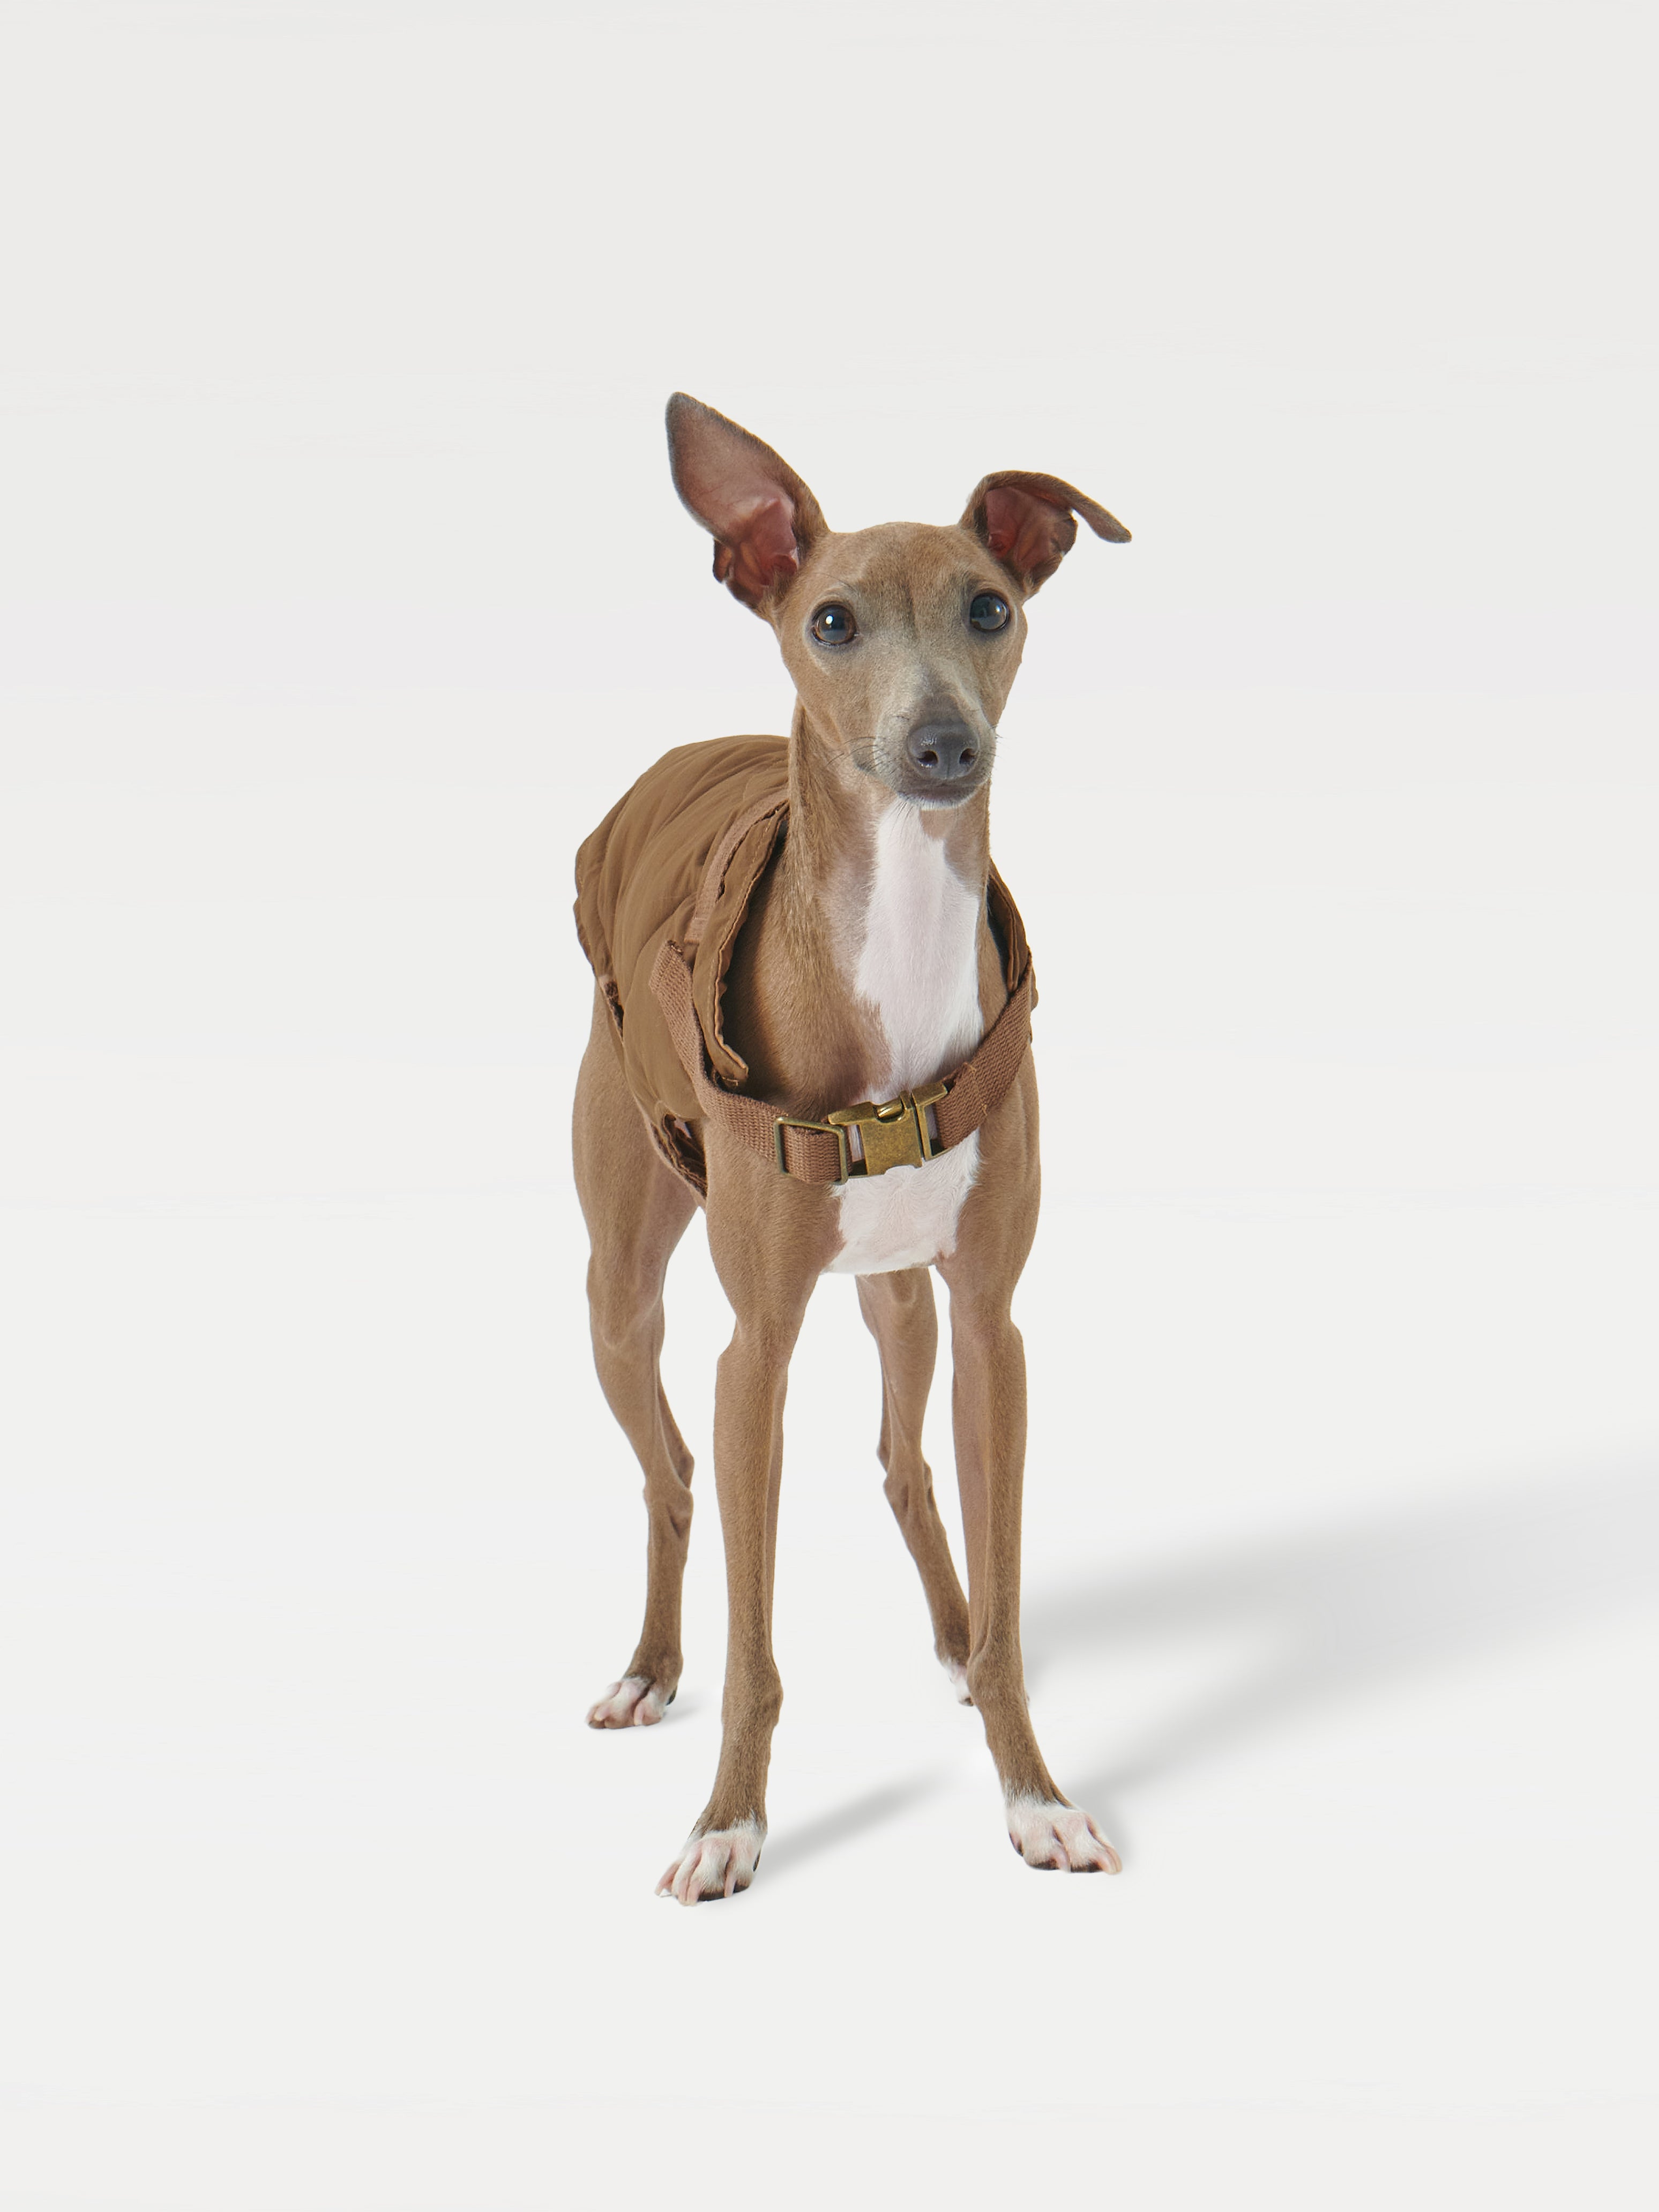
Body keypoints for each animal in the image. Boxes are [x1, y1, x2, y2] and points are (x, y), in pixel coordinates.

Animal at [571, 398, 1132, 1902]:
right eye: (831, 621)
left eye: (991, 606)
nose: (943, 747)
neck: (894, 955)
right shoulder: (751, 1352)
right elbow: (754, 1641)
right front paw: (728, 1822)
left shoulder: (991, 1325)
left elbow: (1001, 1595)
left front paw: (1033, 1792)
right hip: (621, 1297)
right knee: (669, 1478)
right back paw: (649, 1666)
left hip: (898, 1300)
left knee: (901, 1457)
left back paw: (945, 1634)